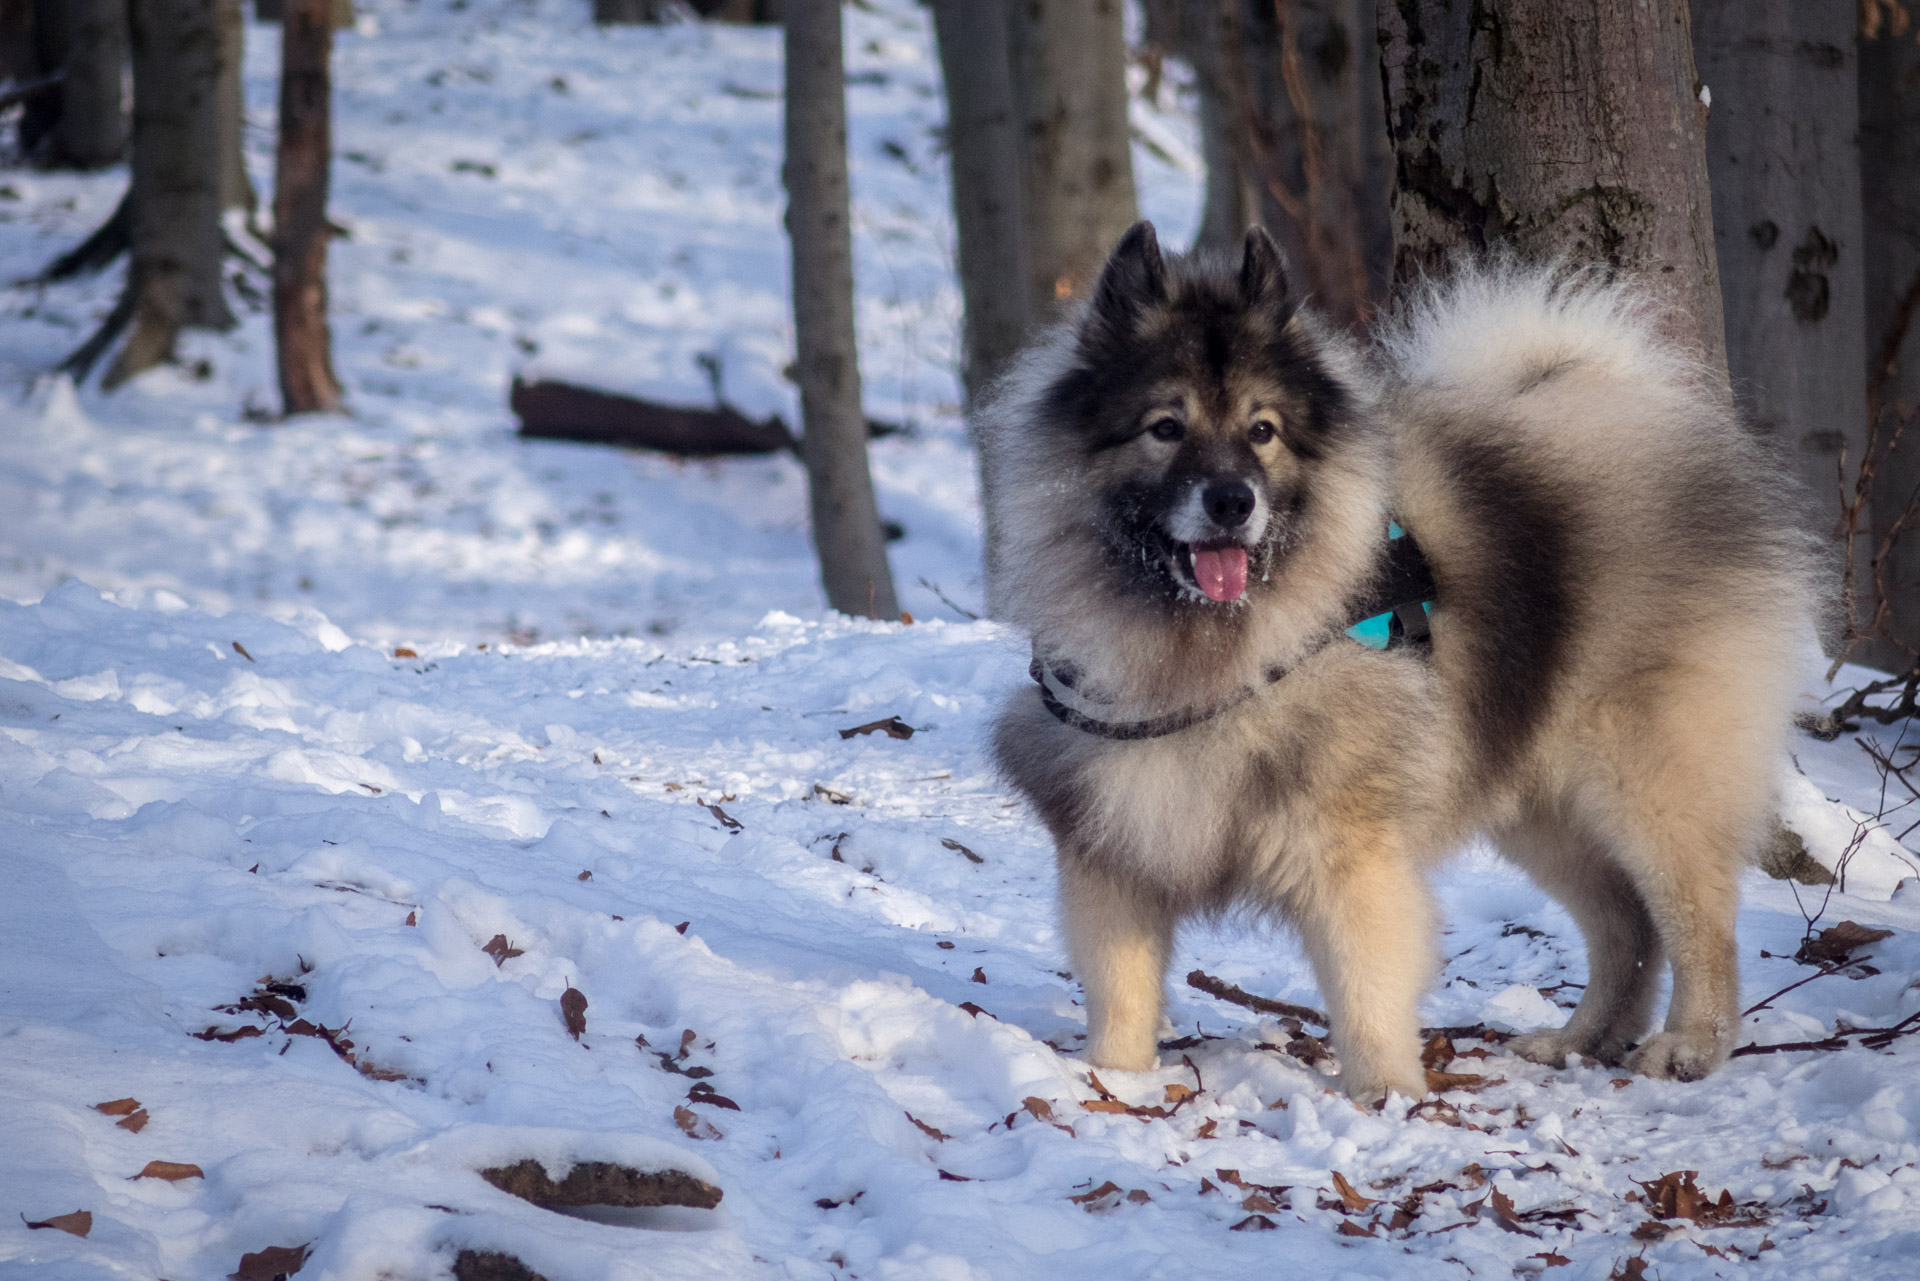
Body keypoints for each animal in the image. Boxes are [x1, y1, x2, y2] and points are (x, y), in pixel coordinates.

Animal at [983, 220, 1820, 1106]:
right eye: (1165, 428)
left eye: (1262, 430)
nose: (1232, 501)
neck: (1213, 646)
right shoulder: (1112, 843)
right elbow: (1120, 988)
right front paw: (1115, 1084)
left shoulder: (1348, 848)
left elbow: (1366, 985)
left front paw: (1385, 1094)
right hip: (1536, 798)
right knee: (1624, 924)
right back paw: (1580, 1039)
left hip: (1646, 783)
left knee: (1700, 918)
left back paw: (1690, 1043)